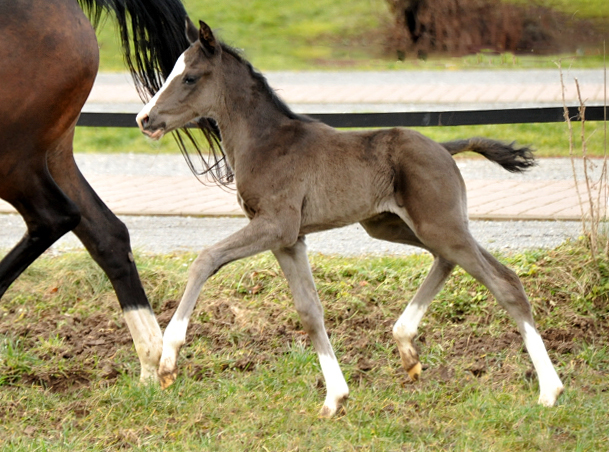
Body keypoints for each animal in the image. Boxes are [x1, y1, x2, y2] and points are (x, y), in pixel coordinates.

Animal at [135, 20, 564, 416]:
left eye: (190, 77)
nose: (144, 119)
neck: (265, 142)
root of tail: (444, 146)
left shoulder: (276, 225)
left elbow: (206, 258)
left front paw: (168, 358)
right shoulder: (289, 240)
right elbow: (309, 311)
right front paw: (335, 397)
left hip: (438, 224)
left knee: (501, 281)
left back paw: (549, 390)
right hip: (395, 225)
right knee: (458, 263)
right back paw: (407, 345)